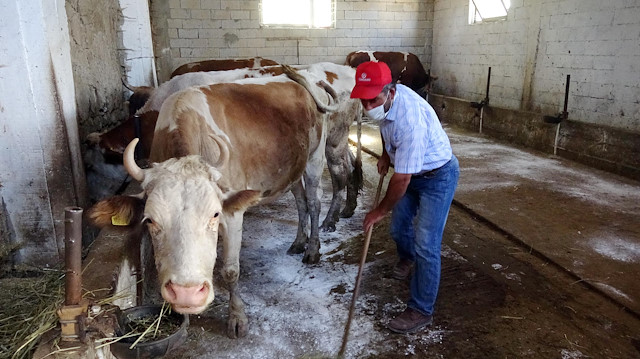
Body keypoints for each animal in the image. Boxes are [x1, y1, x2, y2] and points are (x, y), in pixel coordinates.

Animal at [89, 70, 340, 338]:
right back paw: (298, 242)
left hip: (315, 157)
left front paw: (237, 318)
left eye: (215, 215)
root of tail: (304, 75)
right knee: (301, 201)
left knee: (313, 202)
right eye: (150, 220)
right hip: (292, 168)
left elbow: (230, 270)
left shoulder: (233, 213)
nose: (186, 293)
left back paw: (312, 249)